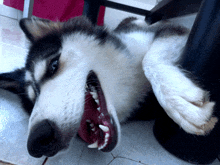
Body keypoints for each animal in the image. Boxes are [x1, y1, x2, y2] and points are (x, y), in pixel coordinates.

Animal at [0, 16, 217, 158]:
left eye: (53, 66)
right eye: (33, 99)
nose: (37, 141)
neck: (131, 82)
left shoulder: (173, 32)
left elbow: (150, 60)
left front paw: (180, 103)